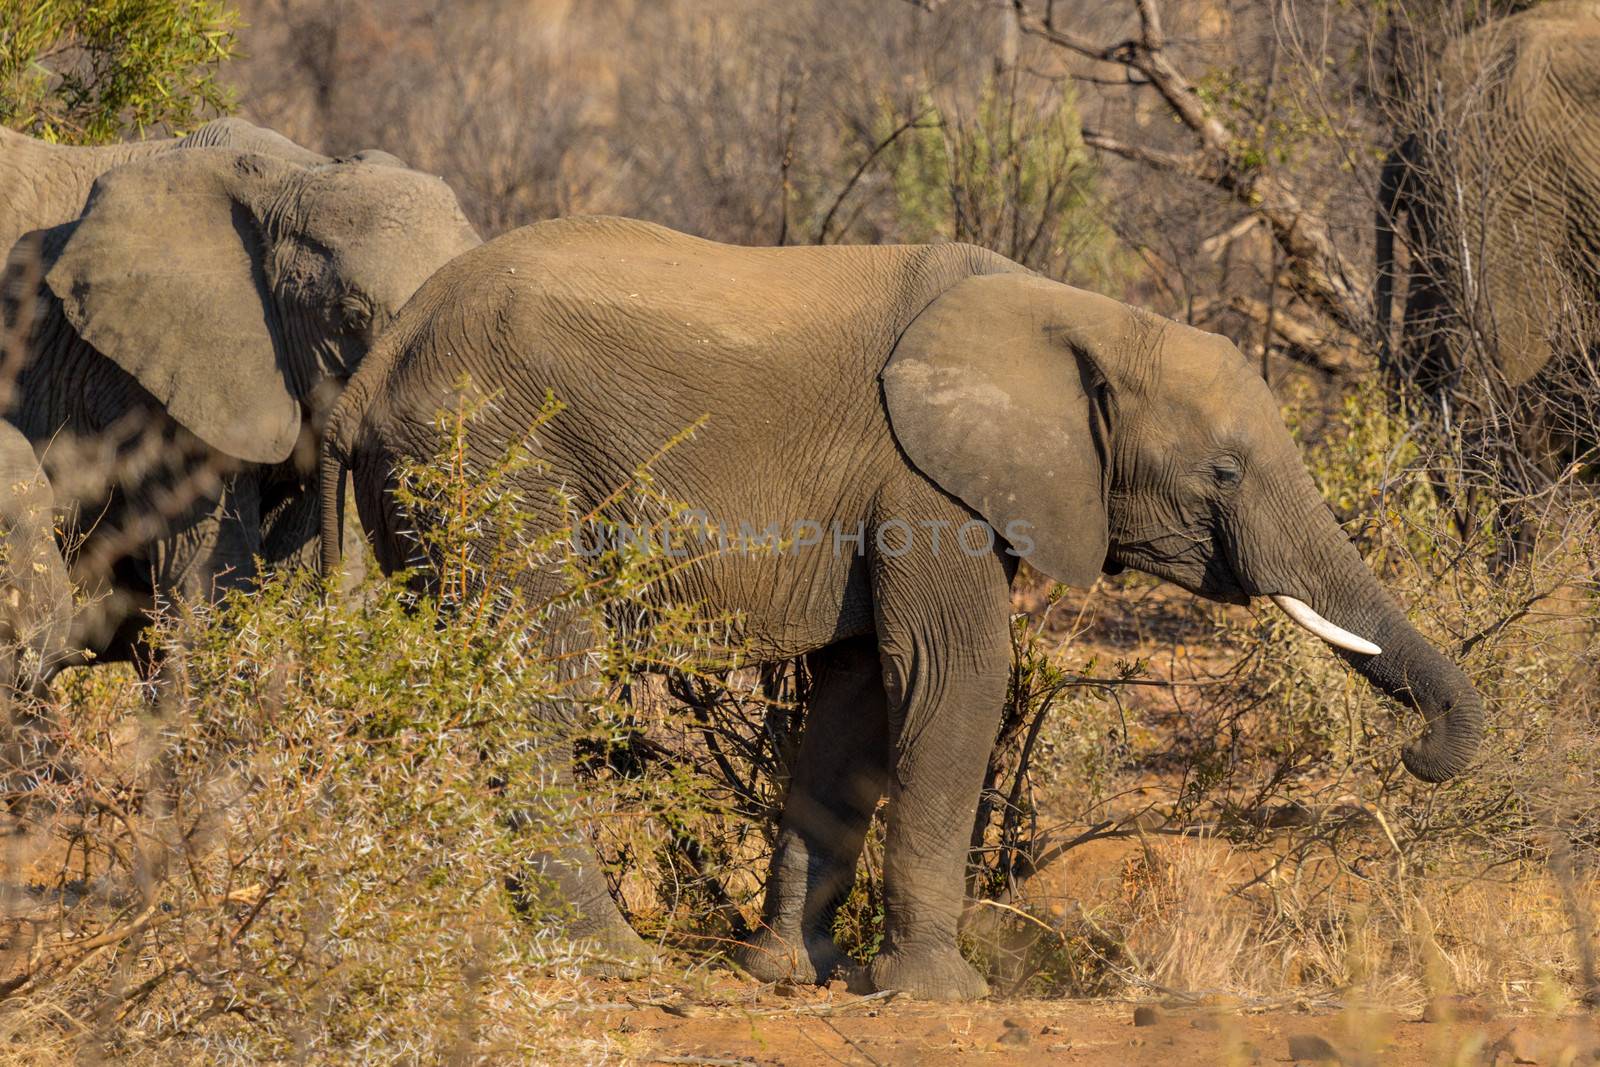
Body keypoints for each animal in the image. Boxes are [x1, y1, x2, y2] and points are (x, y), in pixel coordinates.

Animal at [324, 214, 1484, 1004]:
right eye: (1226, 473)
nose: (1418, 756)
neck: (1084, 314)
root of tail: (377, 364)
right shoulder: (927, 487)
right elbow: (953, 676)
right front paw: (939, 991)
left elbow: (857, 707)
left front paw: (791, 971)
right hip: (493, 465)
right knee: (540, 683)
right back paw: (603, 954)